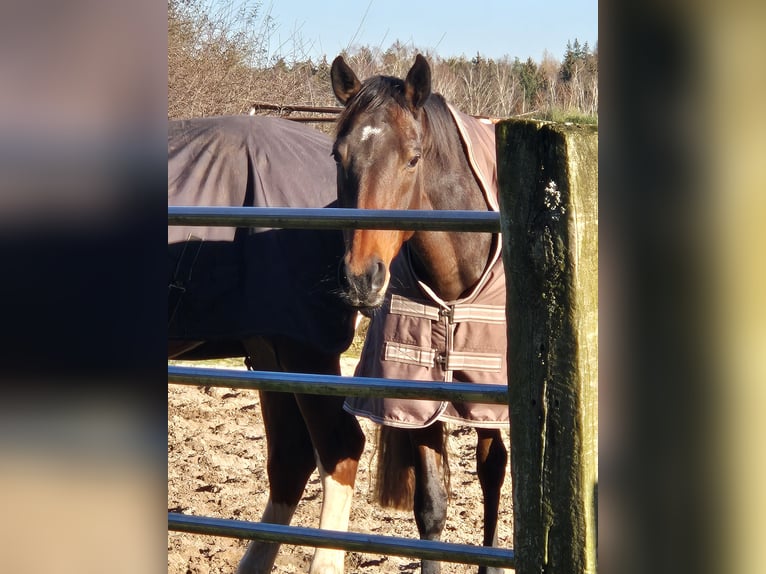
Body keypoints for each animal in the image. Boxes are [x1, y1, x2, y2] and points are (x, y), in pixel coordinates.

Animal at [330, 55, 510, 574]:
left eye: (413, 158)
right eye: (337, 156)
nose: (360, 278)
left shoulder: (493, 393)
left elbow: (491, 471)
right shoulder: (419, 395)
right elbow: (430, 505)